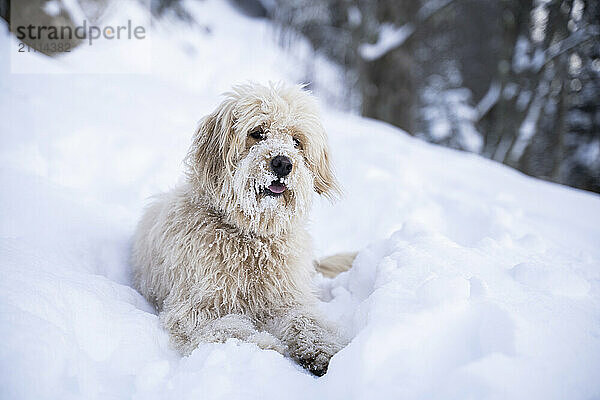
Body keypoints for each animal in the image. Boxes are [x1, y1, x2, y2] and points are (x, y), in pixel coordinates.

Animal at [131, 80, 354, 376]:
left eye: (297, 141)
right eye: (257, 133)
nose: (283, 163)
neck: (251, 238)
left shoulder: (287, 298)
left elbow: (305, 320)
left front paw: (323, 348)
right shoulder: (196, 305)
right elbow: (228, 328)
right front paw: (264, 346)